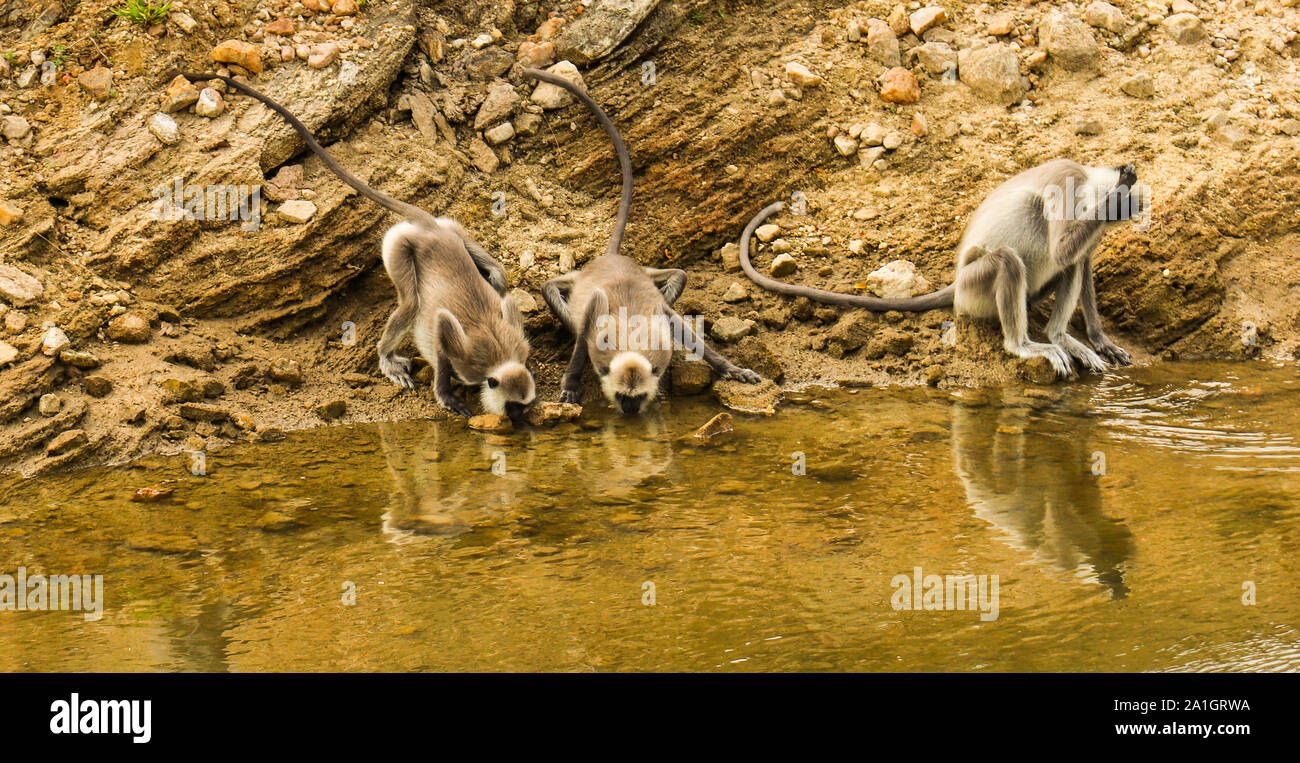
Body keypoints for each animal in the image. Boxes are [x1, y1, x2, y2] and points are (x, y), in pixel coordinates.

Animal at [182, 72, 533, 421]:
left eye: (524, 407)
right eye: (514, 407)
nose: (518, 420)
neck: (500, 360)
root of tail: (431, 230)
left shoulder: (519, 344)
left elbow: (507, 301)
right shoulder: (468, 360)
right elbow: (441, 334)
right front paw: (446, 395)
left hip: (452, 229)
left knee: (499, 277)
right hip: (398, 245)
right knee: (411, 304)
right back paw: (386, 357)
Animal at [520, 68, 759, 415]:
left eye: (636, 399)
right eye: (623, 398)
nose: (630, 412)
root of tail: (610, 257)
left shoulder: (662, 319)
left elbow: (688, 332)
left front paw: (731, 369)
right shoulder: (594, 325)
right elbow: (581, 343)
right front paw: (571, 385)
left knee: (679, 275)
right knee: (551, 288)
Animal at [738, 157, 1144, 379]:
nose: (1130, 210)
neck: (1090, 179)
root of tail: (956, 287)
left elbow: (1076, 258)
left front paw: (1101, 340)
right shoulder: (1067, 179)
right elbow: (1062, 250)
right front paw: (1117, 193)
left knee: (1070, 263)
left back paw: (1059, 337)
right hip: (974, 289)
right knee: (1009, 260)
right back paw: (1024, 345)